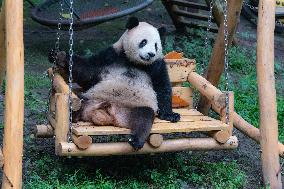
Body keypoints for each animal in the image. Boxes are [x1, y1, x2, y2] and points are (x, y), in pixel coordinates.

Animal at [49, 17, 180, 150]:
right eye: (144, 42)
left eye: (156, 45)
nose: (151, 54)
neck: (134, 62)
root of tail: (111, 114)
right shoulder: (110, 55)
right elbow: (87, 71)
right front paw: (59, 56)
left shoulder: (156, 65)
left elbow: (162, 87)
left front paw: (170, 115)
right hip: (90, 97)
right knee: (78, 103)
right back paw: (73, 116)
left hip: (137, 106)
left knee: (143, 119)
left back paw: (136, 140)